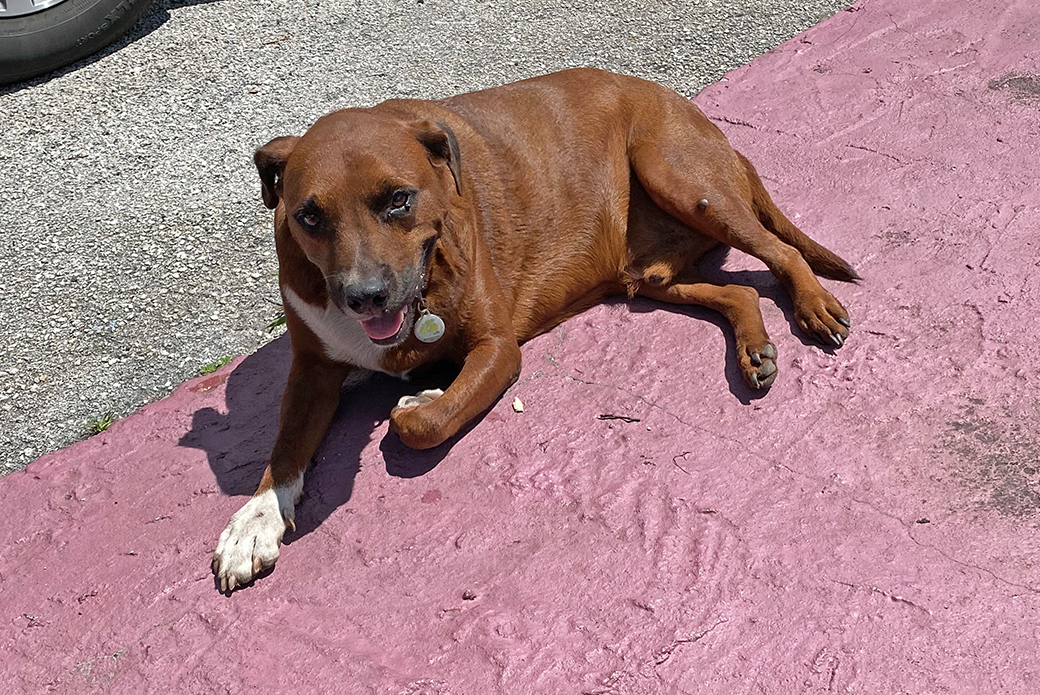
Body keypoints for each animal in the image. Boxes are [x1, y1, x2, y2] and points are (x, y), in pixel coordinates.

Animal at [209, 67, 852, 590]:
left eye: (397, 200)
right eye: (309, 216)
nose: (364, 297)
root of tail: (701, 121)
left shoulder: (497, 349)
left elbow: (426, 424)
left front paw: (421, 398)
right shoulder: (312, 370)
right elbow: (285, 445)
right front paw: (255, 520)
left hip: (679, 177)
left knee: (783, 254)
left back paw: (814, 306)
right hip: (652, 278)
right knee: (739, 289)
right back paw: (754, 349)